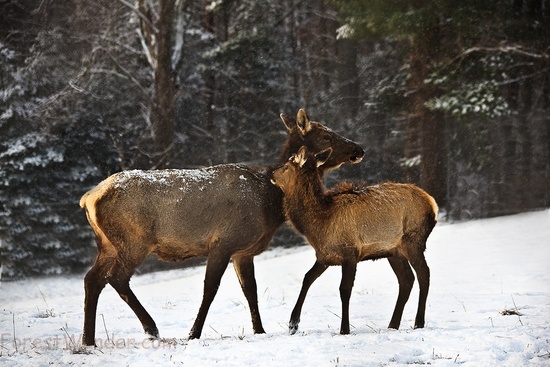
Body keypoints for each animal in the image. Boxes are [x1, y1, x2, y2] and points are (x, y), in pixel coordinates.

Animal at [81, 109, 366, 348]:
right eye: (327, 134)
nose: (359, 149)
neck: (271, 201)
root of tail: (90, 197)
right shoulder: (223, 242)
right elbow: (210, 289)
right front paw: (193, 333)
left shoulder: (244, 251)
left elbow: (250, 290)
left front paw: (259, 330)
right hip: (133, 241)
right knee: (116, 278)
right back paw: (151, 329)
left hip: (107, 244)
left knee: (92, 279)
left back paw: (88, 340)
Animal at [272, 147, 440, 336]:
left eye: (286, 166)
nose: (271, 173)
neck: (318, 225)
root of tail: (432, 204)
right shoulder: (325, 256)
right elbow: (307, 278)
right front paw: (293, 324)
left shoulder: (350, 252)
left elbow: (344, 289)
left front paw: (344, 328)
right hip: (394, 251)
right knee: (406, 279)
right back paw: (393, 324)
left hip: (414, 240)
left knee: (424, 274)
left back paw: (419, 322)